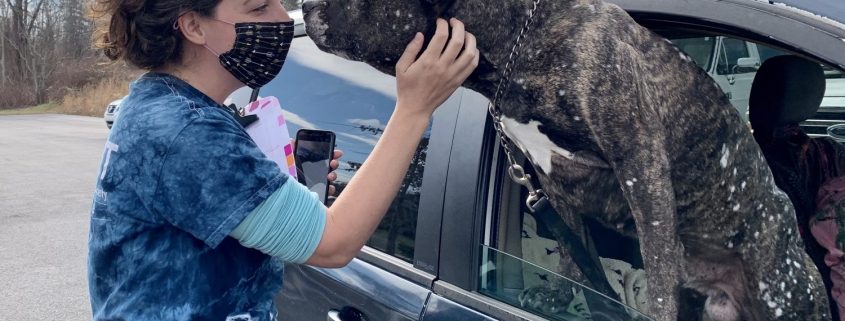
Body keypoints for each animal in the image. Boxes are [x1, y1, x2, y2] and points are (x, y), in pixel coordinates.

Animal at [302, 0, 832, 320]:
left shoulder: (641, 162)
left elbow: (659, 264)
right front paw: (565, 294)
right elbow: (575, 251)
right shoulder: (554, 183)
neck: (517, 44)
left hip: (783, 292)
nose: (305, 3)